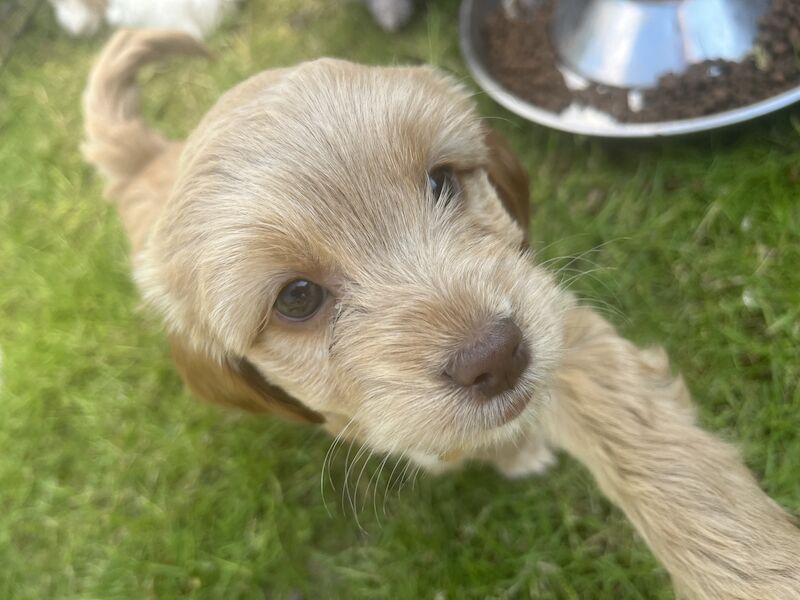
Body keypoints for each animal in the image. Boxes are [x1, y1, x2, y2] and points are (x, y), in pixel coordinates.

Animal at [83, 31, 800, 596]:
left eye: (441, 182)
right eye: (297, 298)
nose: (497, 356)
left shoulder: (557, 323)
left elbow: (657, 455)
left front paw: (759, 570)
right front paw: (469, 450)